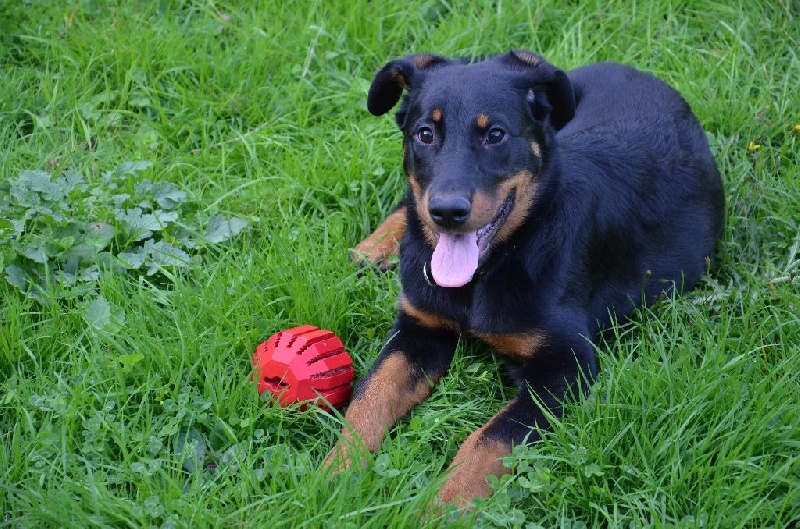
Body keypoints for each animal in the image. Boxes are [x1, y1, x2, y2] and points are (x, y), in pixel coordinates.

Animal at [324, 51, 724, 506]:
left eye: (496, 134)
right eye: (424, 134)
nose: (446, 211)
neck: (489, 270)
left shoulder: (566, 369)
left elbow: (489, 439)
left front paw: (436, 508)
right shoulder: (417, 328)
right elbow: (368, 398)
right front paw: (333, 477)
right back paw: (376, 246)